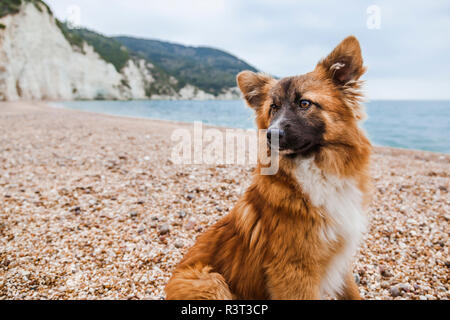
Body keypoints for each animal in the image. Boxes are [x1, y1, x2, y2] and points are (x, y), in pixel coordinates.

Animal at [165, 35, 372, 300]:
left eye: (304, 103)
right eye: (273, 108)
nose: (271, 135)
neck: (314, 171)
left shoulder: (340, 260)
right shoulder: (295, 272)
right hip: (211, 282)